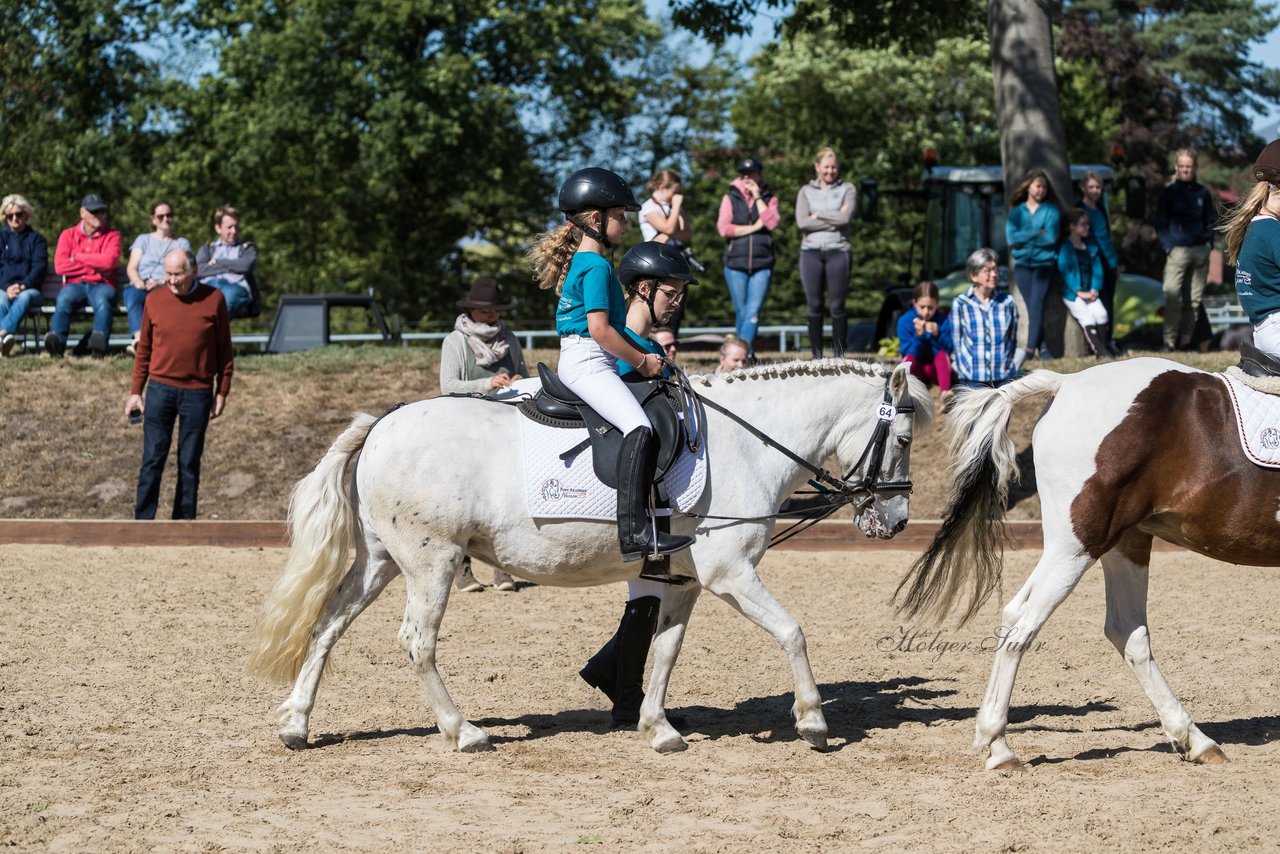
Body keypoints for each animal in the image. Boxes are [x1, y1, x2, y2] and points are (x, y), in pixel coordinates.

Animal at [249, 361, 931, 752]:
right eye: (901, 439)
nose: (895, 521)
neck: (746, 441)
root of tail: (383, 421)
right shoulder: (730, 573)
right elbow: (793, 632)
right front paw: (812, 722)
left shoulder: (684, 579)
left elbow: (665, 649)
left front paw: (658, 728)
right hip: (432, 562)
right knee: (417, 641)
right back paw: (463, 731)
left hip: (380, 561)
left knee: (328, 625)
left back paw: (296, 725)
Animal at [896, 358, 1274, 773]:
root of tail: (1066, 383)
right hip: (1078, 545)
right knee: (1023, 627)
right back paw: (999, 746)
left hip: (1121, 542)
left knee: (1120, 629)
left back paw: (1195, 740)